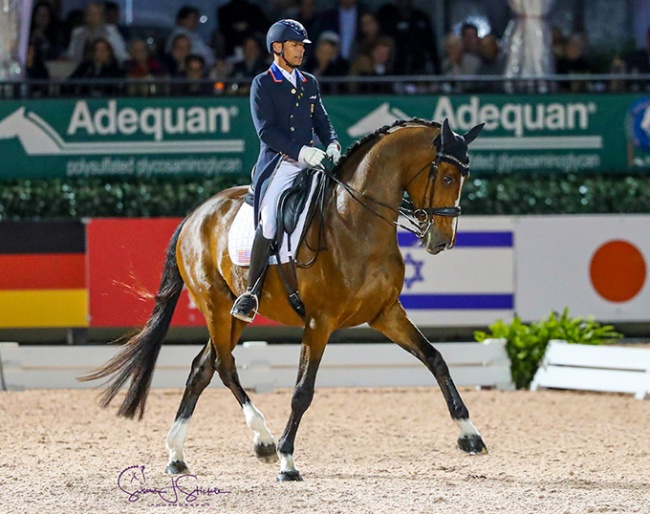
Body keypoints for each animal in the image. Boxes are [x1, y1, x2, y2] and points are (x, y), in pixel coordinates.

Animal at [82, 116, 486, 480]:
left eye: (464, 178)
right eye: (447, 177)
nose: (442, 240)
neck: (356, 222)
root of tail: (195, 215)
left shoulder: (386, 314)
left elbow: (436, 359)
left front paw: (470, 434)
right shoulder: (319, 321)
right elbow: (302, 391)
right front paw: (287, 459)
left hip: (233, 315)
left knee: (202, 367)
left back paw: (178, 455)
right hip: (215, 305)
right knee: (225, 366)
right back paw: (262, 439)